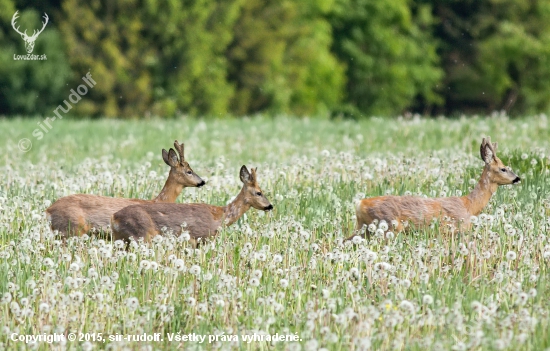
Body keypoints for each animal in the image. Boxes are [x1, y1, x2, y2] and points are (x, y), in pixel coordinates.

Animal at [112, 166, 274, 246]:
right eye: (259, 192)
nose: (270, 206)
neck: (221, 215)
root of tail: (115, 217)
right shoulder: (200, 236)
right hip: (141, 235)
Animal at [350, 136, 520, 241]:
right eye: (503, 169)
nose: (518, 178)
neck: (470, 205)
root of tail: (360, 204)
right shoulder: (454, 229)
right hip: (388, 226)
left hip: (363, 228)